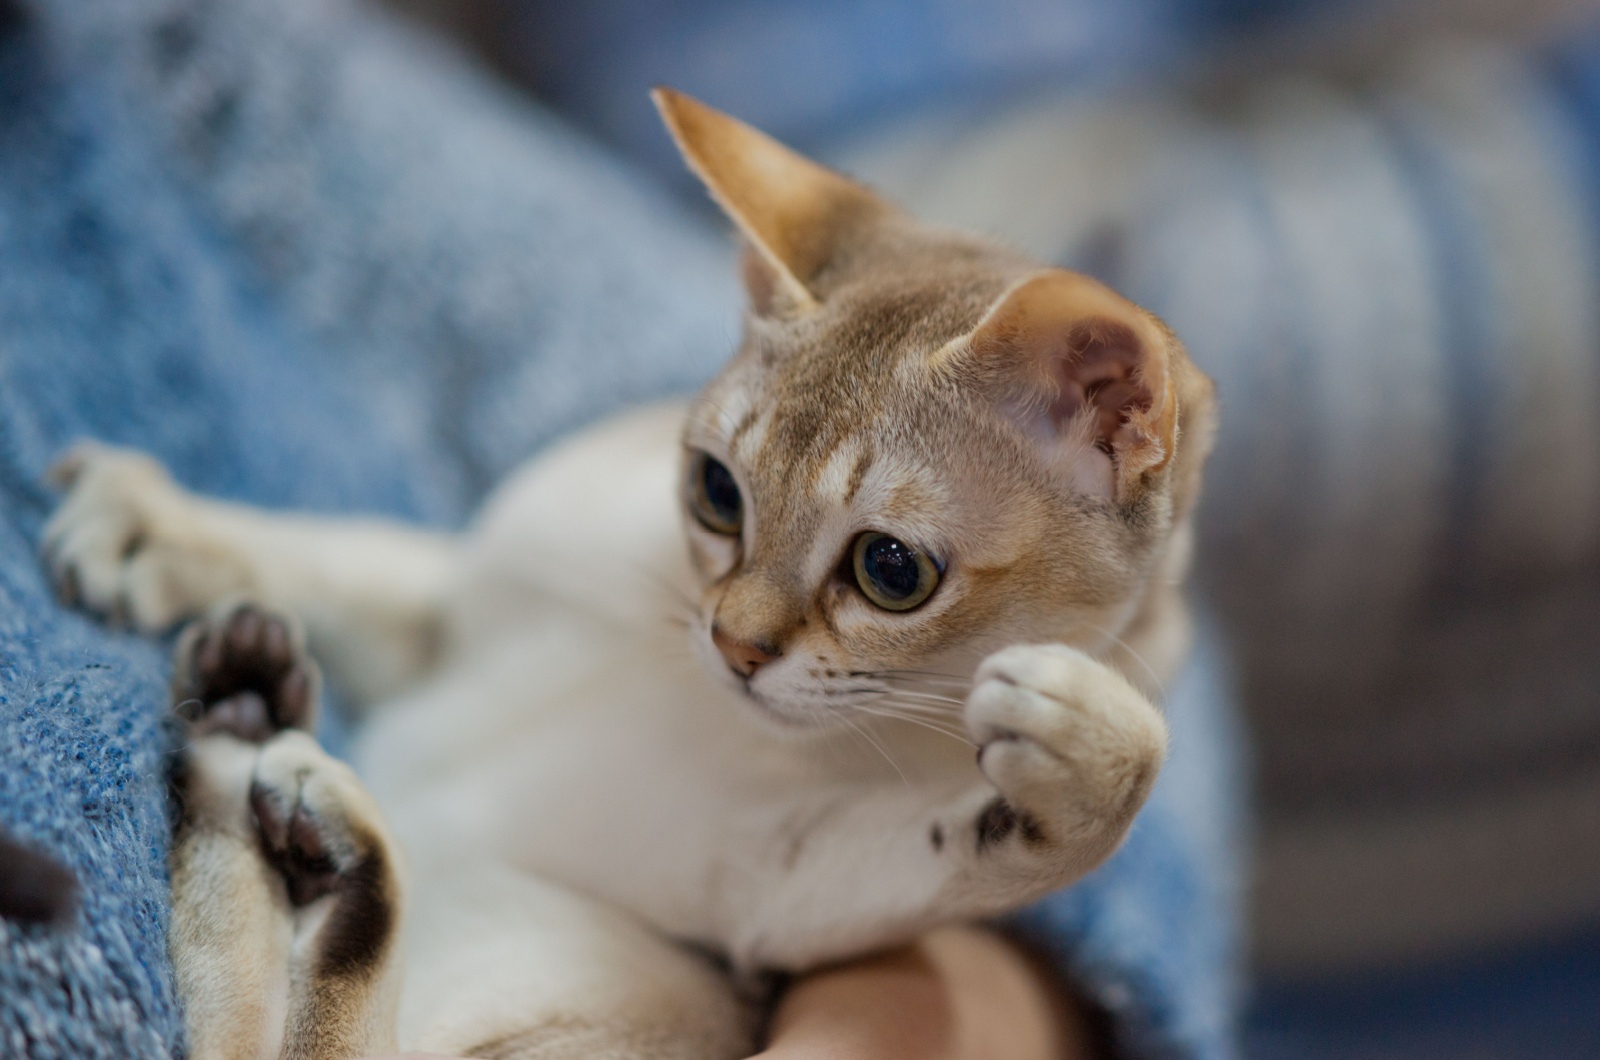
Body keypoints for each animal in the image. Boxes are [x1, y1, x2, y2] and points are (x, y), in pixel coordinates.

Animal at [40, 91, 1209, 1060]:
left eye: (890, 569)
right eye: (716, 491)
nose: (733, 645)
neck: (673, 680)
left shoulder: (779, 891)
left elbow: (1005, 843)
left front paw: (1096, 755)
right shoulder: (472, 594)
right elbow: (342, 555)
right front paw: (163, 529)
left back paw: (318, 822)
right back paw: (244, 715)